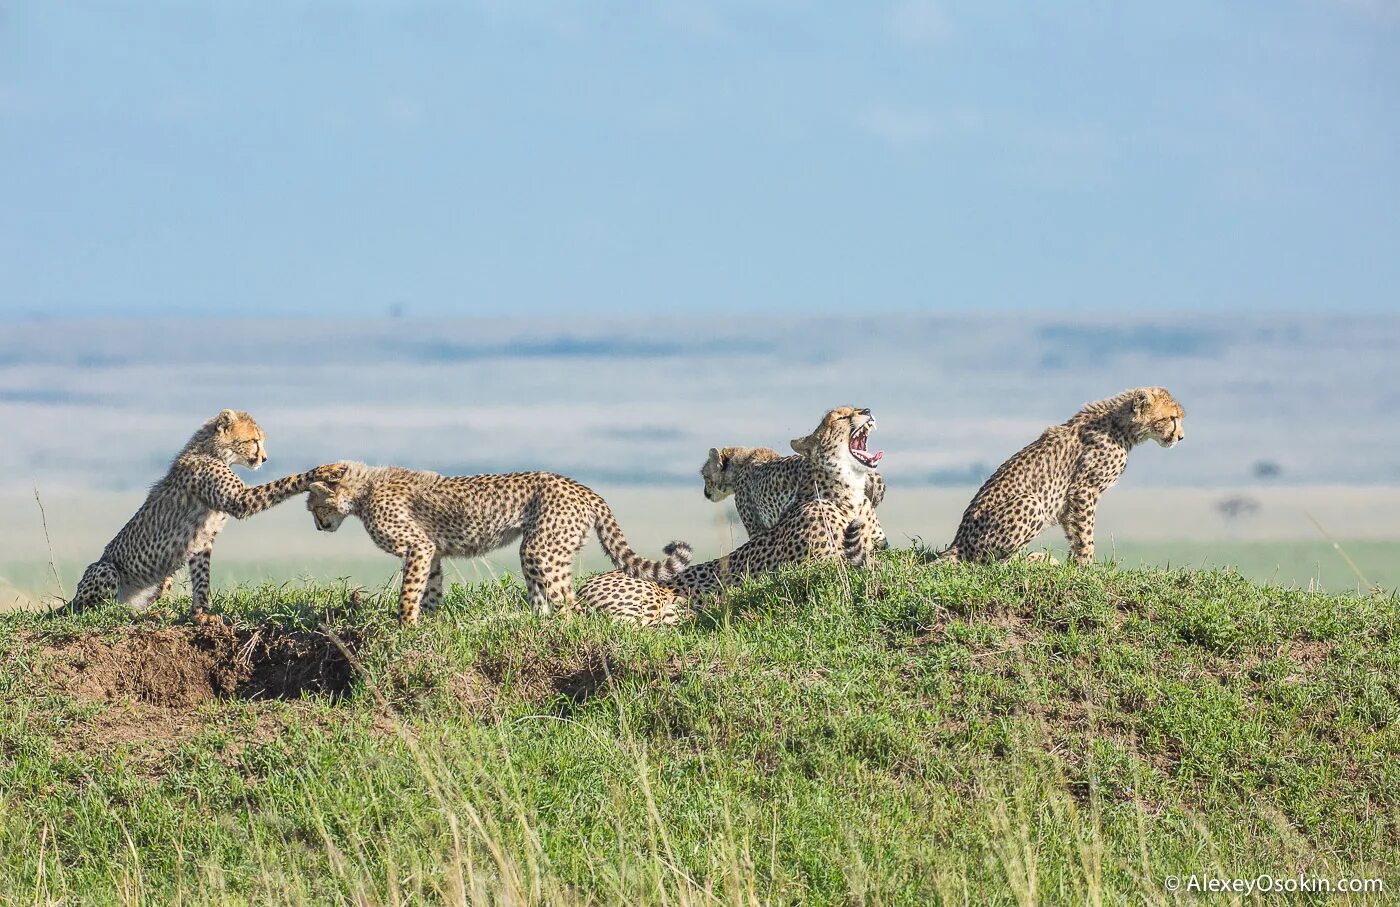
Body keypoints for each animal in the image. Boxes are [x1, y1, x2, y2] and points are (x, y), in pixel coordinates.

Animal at [66, 411, 345, 618]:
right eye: (254, 441)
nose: (264, 459)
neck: (212, 450)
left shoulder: (202, 540)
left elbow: (201, 576)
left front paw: (202, 612)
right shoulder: (239, 501)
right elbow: (286, 481)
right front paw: (321, 471)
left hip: (164, 579)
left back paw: (148, 613)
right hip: (104, 570)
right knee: (98, 610)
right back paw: (126, 614)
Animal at [312, 461, 694, 624]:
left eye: (312, 505)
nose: (318, 526)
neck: (362, 490)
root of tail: (582, 487)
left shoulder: (418, 547)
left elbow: (409, 592)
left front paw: (406, 625)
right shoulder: (430, 551)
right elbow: (430, 587)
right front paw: (429, 624)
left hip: (541, 548)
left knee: (571, 606)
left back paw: (561, 630)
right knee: (547, 599)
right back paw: (538, 624)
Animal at [940, 386, 1181, 562]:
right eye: (1172, 418)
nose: (1181, 437)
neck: (1121, 426)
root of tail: (957, 543)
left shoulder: (1070, 501)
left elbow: (1075, 533)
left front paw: (1074, 565)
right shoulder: (1084, 489)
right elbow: (1086, 534)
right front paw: (1088, 569)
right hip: (1031, 502)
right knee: (992, 564)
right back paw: (1036, 560)